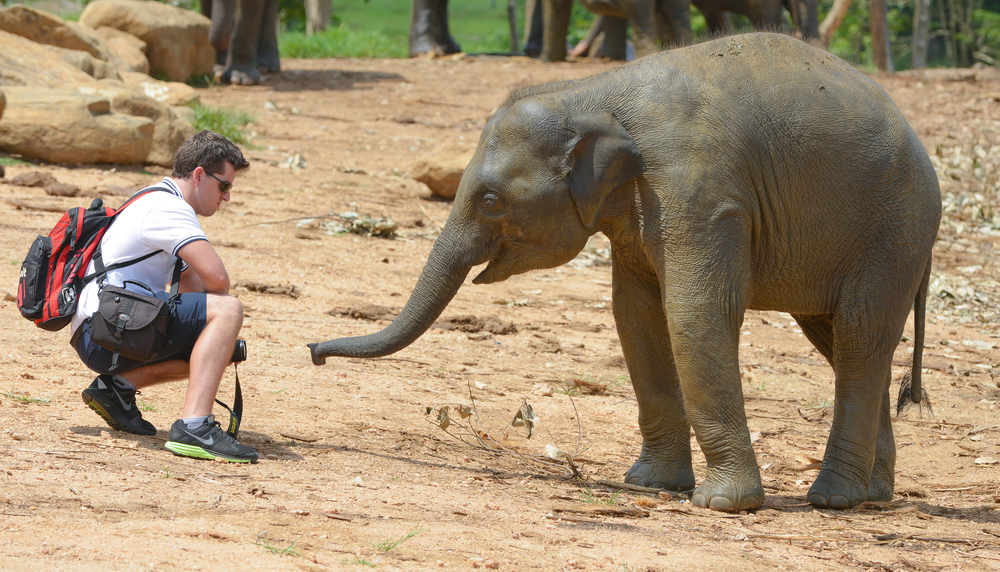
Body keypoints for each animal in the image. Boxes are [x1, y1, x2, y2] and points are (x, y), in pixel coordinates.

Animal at [310, 33, 936, 512]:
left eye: (489, 201)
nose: (313, 351)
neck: (595, 92)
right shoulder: (635, 213)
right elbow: (636, 317)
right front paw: (650, 485)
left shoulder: (697, 192)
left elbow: (695, 313)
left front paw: (721, 505)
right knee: (841, 341)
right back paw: (873, 495)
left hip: (893, 234)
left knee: (858, 334)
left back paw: (833, 499)